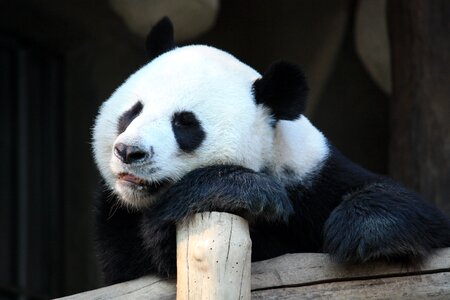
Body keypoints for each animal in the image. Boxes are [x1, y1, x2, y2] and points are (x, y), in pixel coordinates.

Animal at [92, 17, 450, 284]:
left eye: (184, 124)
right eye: (132, 112)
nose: (129, 152)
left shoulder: (314, 176)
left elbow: (416, 212)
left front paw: (360, 230)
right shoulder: (117, 221)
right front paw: (246, 191)